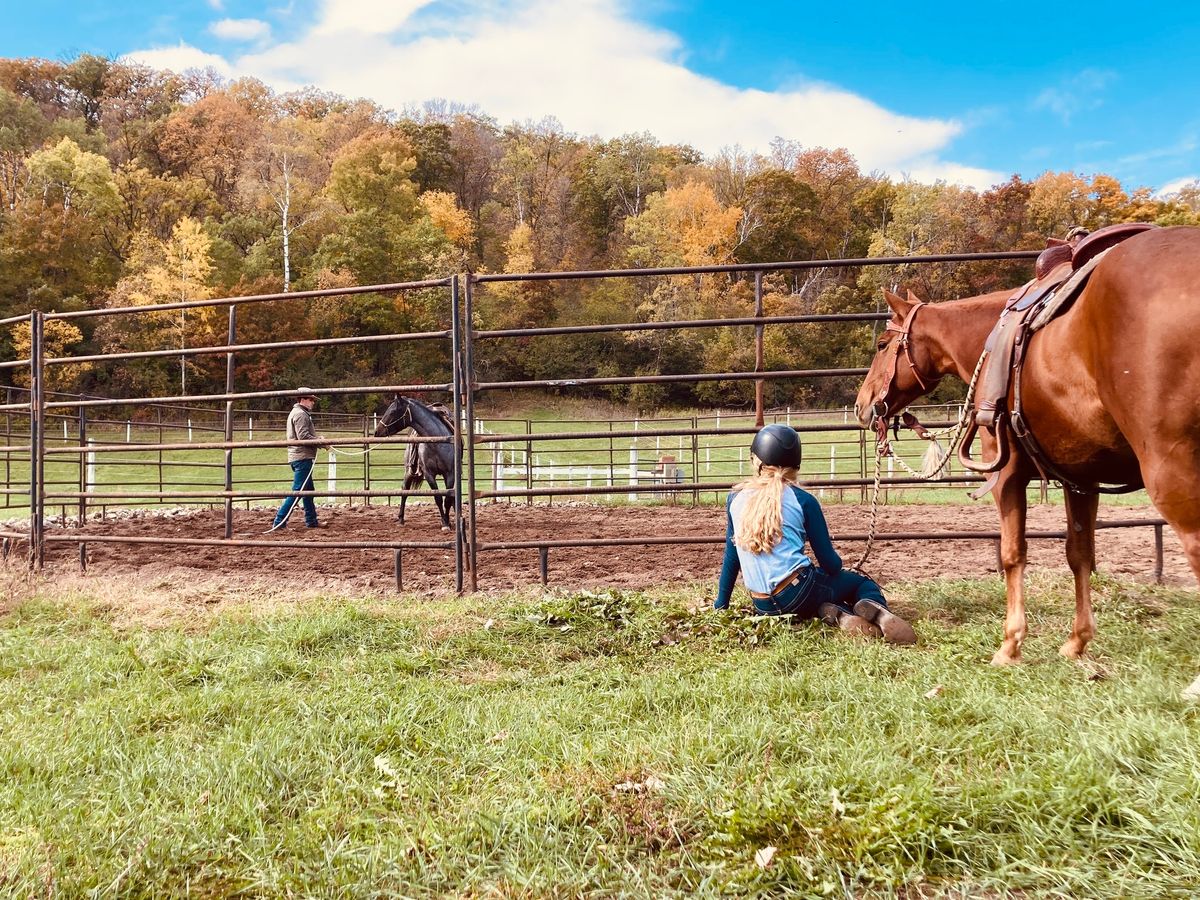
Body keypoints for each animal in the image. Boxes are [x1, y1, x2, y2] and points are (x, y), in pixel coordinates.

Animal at [374, 393, 458, 528]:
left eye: (392, 411)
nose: (377, 431)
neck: (436, 443)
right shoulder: (429, 474)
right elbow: (438, 498)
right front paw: (445, 522)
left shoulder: (450, 474)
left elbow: (448, 499)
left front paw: (447, 522)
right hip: (409, 471)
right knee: (405, 490)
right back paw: (401, 519)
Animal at [854, 224, 1200, 676]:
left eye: (882, 344)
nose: (861, 405)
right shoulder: (1081, 479)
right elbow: (1079, 554)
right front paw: (1076, 642)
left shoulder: (1007, 475)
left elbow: (1012, 554)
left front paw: (1010, 645)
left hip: (1170, 471)